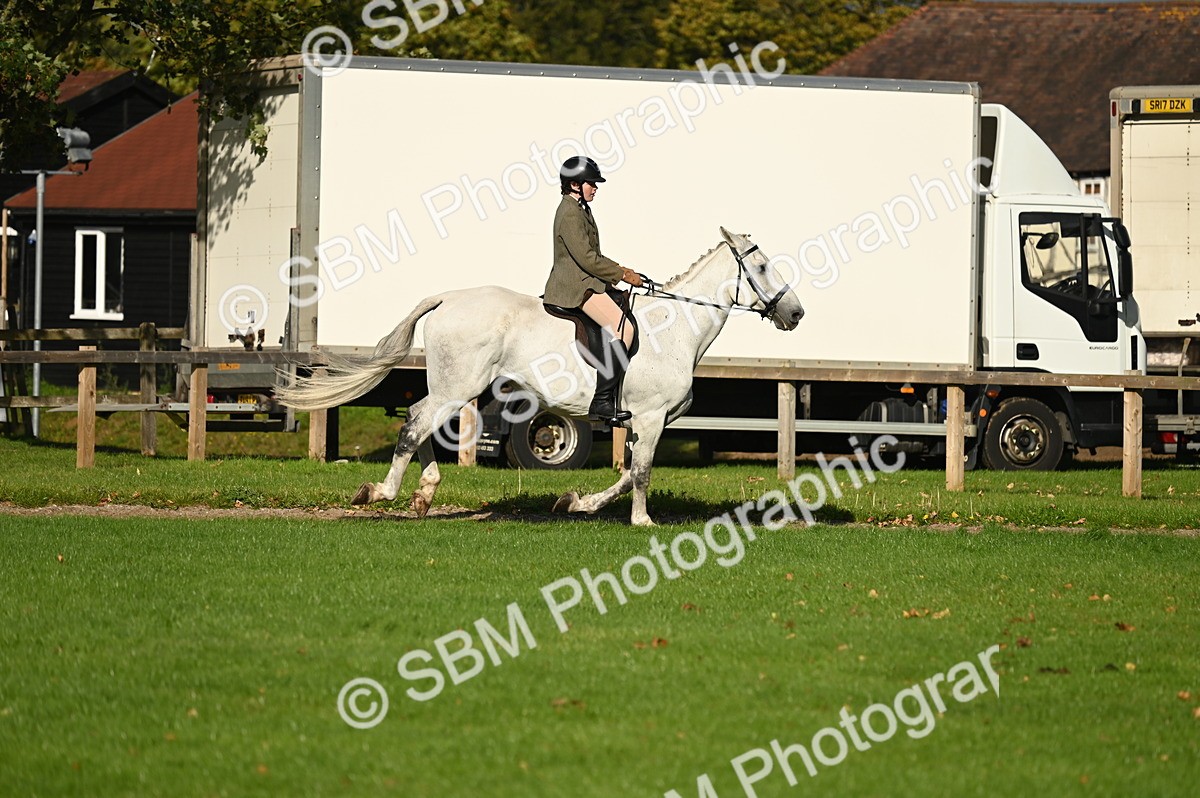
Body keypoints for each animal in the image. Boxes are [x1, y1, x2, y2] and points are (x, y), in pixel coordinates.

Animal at [277, 227, 805, 525]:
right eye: (761, 266)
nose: (796, 313)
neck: (674, 329)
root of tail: (448, 297)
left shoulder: (644, 421)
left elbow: (625, 472)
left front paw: (576, 504)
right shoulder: (652, 417)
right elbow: (641, 472)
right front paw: (642, 522)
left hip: (450, 387)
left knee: (417, 418)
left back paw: (423, 495)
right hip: (459, 386)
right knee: (416, 425)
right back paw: (382, 492)